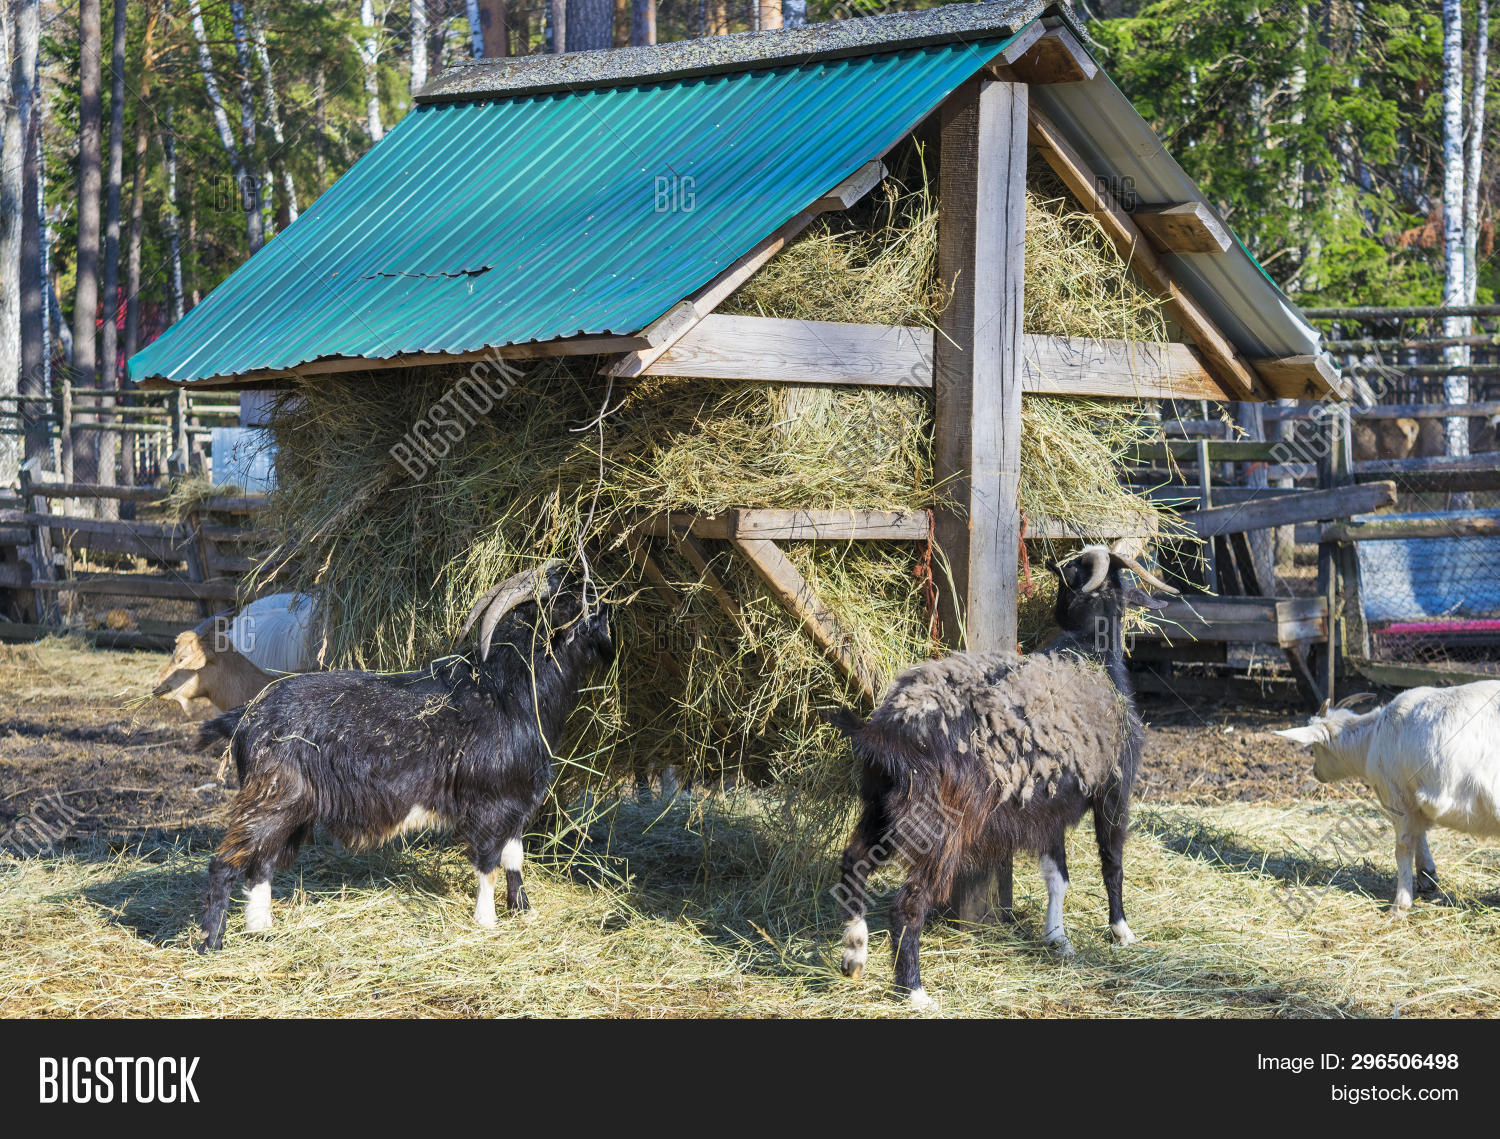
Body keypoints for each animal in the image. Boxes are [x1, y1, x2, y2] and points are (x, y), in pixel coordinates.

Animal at [195, 562, 614, 951]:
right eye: (581, 599)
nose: (610, 609)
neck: (507, 690)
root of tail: (246, 716)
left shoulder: (517, 799)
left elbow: (514, 857)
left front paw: (524, 910)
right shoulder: (490, 803)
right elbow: (489, 863)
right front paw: (486, 921)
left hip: (292, 807)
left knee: (261, 864)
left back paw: (261, 929)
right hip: (271, 798)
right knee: (226, 862)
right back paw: (212, 942)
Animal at [826, 543, 1175, 1007]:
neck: (1090, 652)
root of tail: (891, 729)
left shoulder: (1048, 806)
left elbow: (1058, 877)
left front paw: (1058, 938)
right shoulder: (1113, 789)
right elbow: (1112, 861)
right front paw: (1121, 931)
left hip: (880, 809)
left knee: (853, 865)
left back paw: (854, 954)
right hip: (939, 829)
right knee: (907, 905)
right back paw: (914, 990)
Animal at [1275, 682, 1500, 912]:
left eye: (1314, 748)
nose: (1315, 772)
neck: (1372, 738)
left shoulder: (1396, 795)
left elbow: (1403, 846)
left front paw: (1400, 904)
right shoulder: (1414, 797)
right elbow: (1420, 834)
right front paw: (1427, 875)